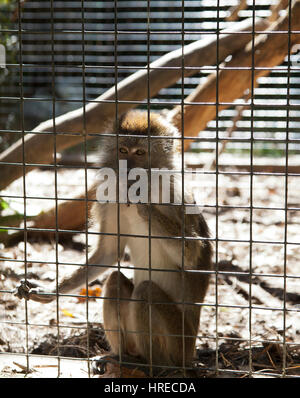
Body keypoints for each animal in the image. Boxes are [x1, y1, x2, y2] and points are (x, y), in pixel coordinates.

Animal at [15, 109, 213, 376]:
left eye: (139, 153)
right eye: (122, 150)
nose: (126, 168)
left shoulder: (178, 196)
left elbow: (191, 256)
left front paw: (144, 203)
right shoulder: (111, 201)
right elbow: (108, 254)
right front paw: (47, 291)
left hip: (179, 344)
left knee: (145, 292)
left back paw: (154, 366)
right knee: (116, 281)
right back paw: (122, 356)